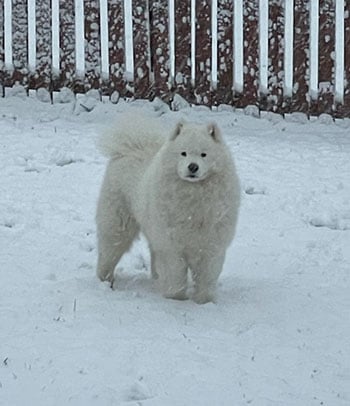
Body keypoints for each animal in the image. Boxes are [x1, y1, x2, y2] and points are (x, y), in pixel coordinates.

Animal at [95, 112, 239, 302]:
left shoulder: (212, 247)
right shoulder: (172, 246)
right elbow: (175, 276)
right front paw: (176, 299)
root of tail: (130, 148)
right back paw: (105, 281)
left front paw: (204, 301)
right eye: (183, 153)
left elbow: (206, 278)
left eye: (203, 154)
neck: (193, 196)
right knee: (108, 254)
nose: (193, 167)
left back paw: (156, 279)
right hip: (117, 226)